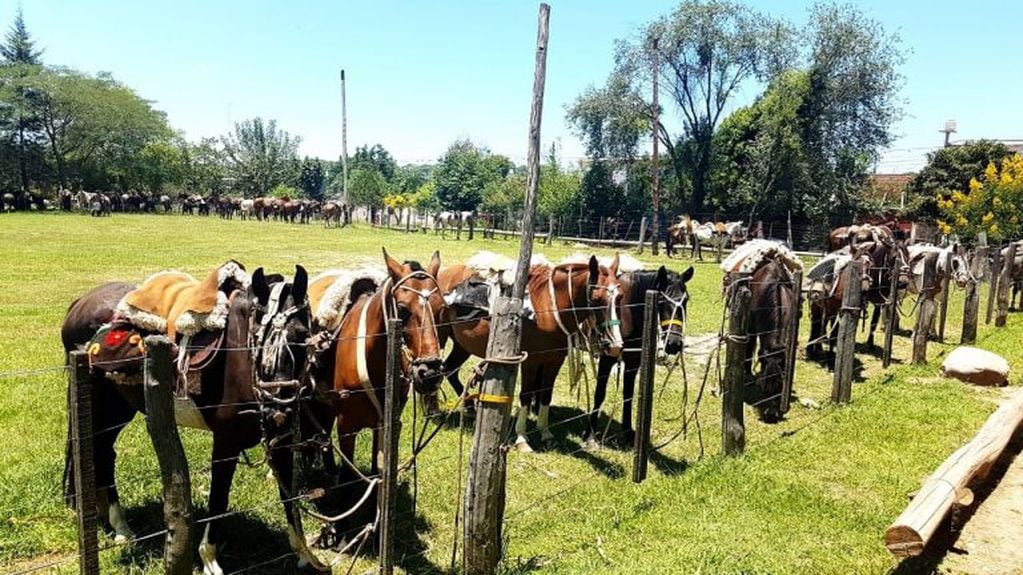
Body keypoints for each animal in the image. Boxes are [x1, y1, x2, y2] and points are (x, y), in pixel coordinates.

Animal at [59, 263, 333, 572]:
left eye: (302, 335)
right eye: (258, 338)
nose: (277, 410)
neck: (238, 356)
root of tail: (80, 303)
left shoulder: (281, 440)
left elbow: (289, 495)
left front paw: (305, 555)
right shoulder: (226, 442)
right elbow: (218, 498)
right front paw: (209, 559)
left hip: (119, 407)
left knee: (105, 453)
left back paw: (116, 523)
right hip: (100, 403)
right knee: (99, 453)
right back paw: (121, 528)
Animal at [437, 252, 621, 450]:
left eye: (620, 297)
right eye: (595, 299)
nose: (615, 345)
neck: (547, 309)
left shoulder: (555, 360)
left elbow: (546, 394)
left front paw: (545, 432)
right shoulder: (530, 361)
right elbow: (525, 394)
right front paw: (522, 438)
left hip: (461, 346)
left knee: (449, 369)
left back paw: (469, 408)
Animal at [585, 263, 695, 444]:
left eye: (686, 300)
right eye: (661, 300)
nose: (674, 344)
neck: (627, 312)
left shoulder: (633, 362)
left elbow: (628, 394)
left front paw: (628, 432)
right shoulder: (607, 359)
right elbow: (599, 393)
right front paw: (590, 434)